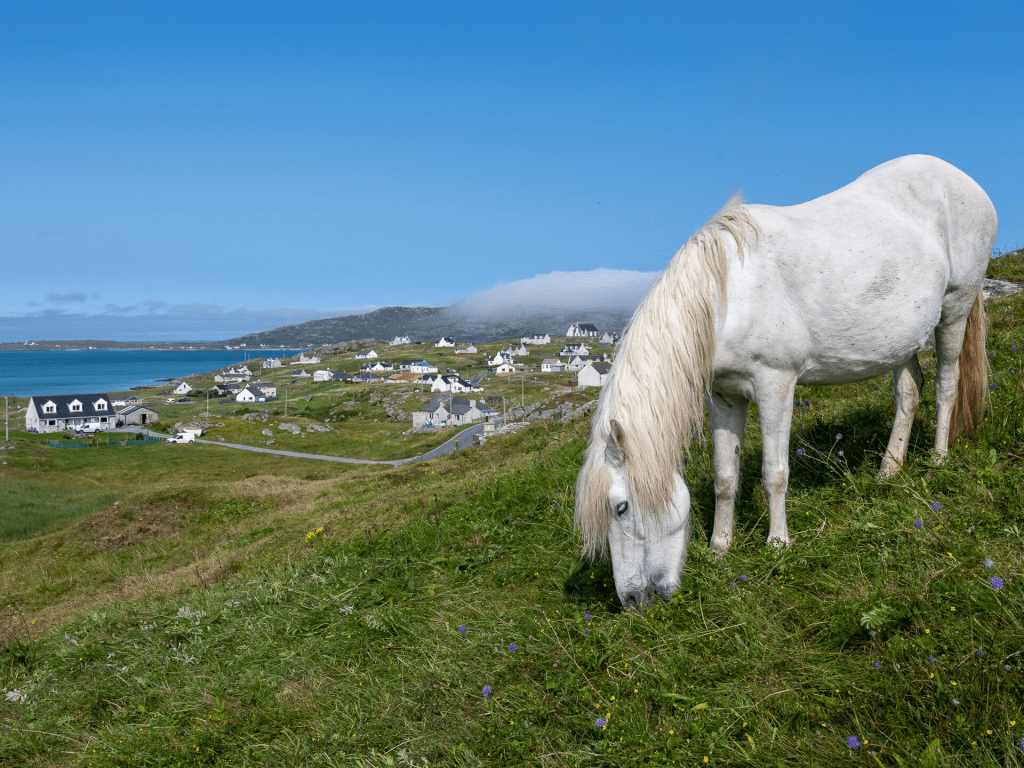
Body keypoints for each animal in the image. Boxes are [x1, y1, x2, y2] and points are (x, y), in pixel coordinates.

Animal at [574, 155, 997, 609]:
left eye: (620, 508)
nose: (634, 600)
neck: (725, 296)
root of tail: (963, 180)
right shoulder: (723, 396)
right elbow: (725, 476)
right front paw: (720, 546)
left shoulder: (775, 384)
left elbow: (773, 471)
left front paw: (778, 544)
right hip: (900, 339)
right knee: (909, 390)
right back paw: (889, 471)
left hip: (954, 309)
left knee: (946, 384)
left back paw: (938, 458)